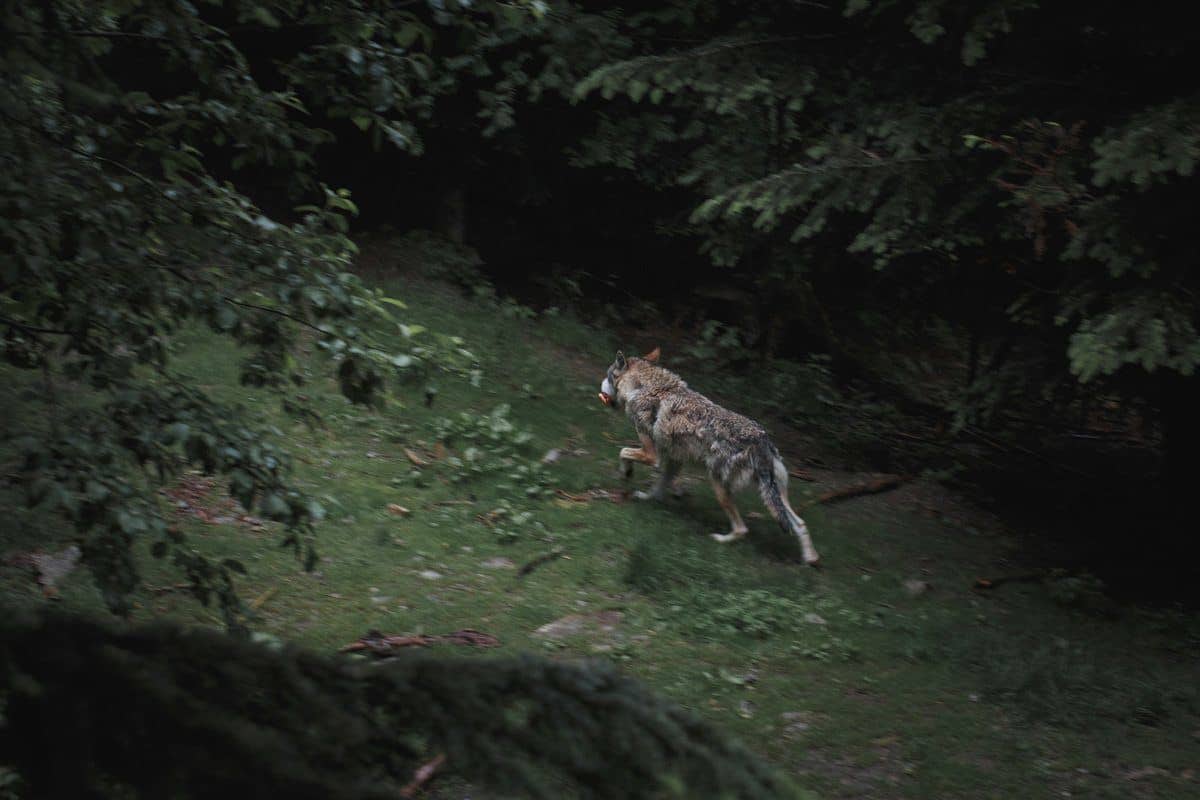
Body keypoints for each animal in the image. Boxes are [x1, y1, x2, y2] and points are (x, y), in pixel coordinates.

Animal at [600, 347, 825, 566]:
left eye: (608, 375)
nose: (600, 386)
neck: (646, 387)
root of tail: (762, 441)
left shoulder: (651, 455)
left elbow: (623, 452)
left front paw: (626, 473)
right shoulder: (674, 460)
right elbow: (659, 487)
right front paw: (647, 498)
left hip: (719, 486)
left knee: (742, 529)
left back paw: (719, 539)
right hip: (775, 495)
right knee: (800, 524)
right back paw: (810, 560)